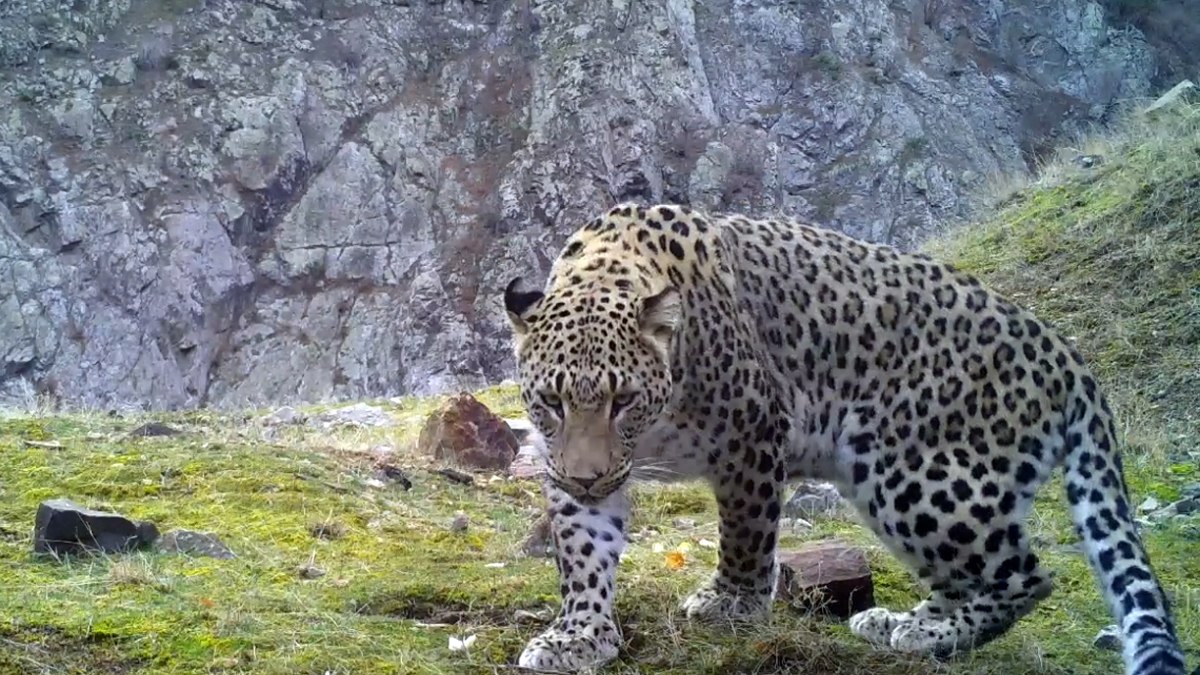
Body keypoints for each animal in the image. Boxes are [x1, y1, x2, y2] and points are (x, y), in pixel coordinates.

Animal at [501, 200, 1185, 672]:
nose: (589, 476)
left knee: (1023, 576)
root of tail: (1062, 350)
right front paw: (579, 635)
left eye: (623, 401)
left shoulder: (753, 432)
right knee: (966, 577)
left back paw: (931, 636)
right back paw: (902, 623)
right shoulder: (566, 467)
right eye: (553, 402)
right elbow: (583, 553)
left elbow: (746, 534)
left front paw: (733, 603)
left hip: (919, 477)